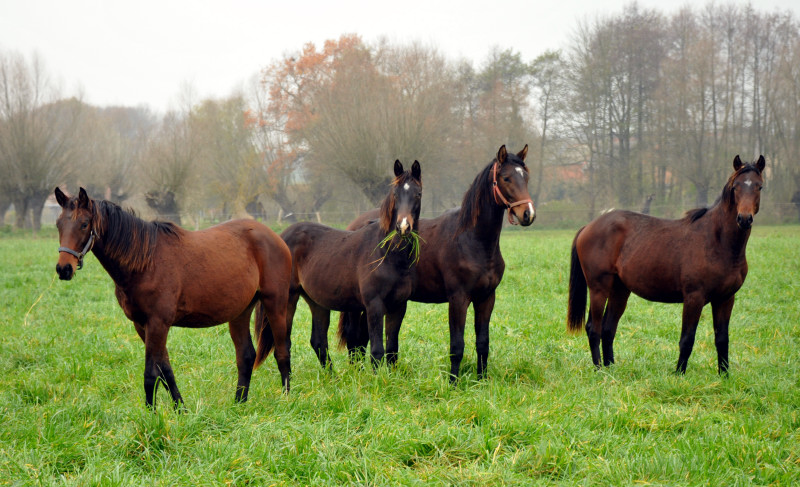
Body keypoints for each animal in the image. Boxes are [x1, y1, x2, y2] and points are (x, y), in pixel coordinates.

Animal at [55, 189, 294, 410]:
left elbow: (151, 373)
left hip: (275, 304)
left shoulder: (158, 324)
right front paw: (180, 409)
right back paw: (239, 404)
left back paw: (286, 400)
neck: (145, 262)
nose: (63, 269)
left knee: (282, 350)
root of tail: (275, 237)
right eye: (58, 224)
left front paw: (151, 416)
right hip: (240, 313)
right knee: (245, 356)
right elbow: (165, 370)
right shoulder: (142, 325)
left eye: (84, 224)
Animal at [266, 160, 422, 370]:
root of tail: (282, 236)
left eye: (418, 194)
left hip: (316, 301)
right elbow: (376, 351)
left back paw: (332, 376)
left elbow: (391, 351)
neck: (387, 255)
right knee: (284, 345)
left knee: (318, 341)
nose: (403, 227)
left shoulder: (398, 306)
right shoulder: (374, 305)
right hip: (289, 298)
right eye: (395, 194)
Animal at [340, 145, 536, 382]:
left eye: (525, 177)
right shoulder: (458, 299)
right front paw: (453, 383)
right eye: (506, 178)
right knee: (354, 338)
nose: (527, 214)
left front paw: (481, 381)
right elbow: (457, 345)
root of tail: (354, 227)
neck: (473, 241)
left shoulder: (486, 298)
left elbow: (483, 342)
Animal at [564, 154, 764, 376]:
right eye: (736, 187)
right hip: (599, 288)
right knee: (594, 328)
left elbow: (722, 339)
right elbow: (687, 339)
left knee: (608, 329)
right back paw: (600, 370)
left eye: (759, 186)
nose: (744, 219)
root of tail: (588, 226)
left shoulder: (726, 299)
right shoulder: (694, 298)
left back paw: (611, 368)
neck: (718, 242)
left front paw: (724, 376)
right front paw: (679, 375)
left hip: (620, 290)